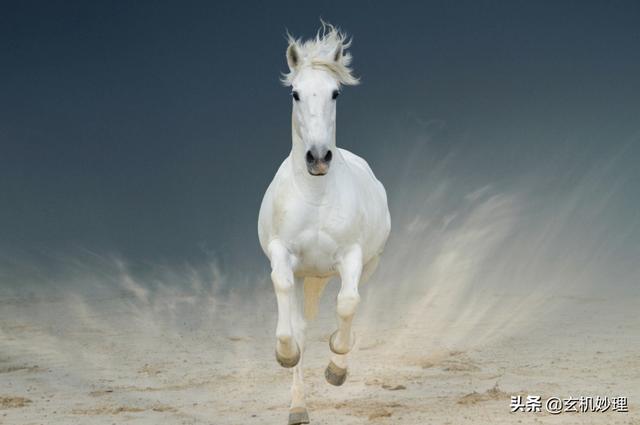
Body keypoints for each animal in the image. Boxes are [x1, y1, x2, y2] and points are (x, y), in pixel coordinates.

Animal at [256, 24, 388, 424]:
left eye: (335, 93)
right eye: (296, 93)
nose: (317, 157)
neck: (315, 195)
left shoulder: (352, 257)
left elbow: (347, 303)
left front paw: (336, 369)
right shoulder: (283, 256)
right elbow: (291, 323)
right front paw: (285, 354)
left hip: (366, 265)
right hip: (306, 275)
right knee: (299, 322)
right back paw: (298, 407)